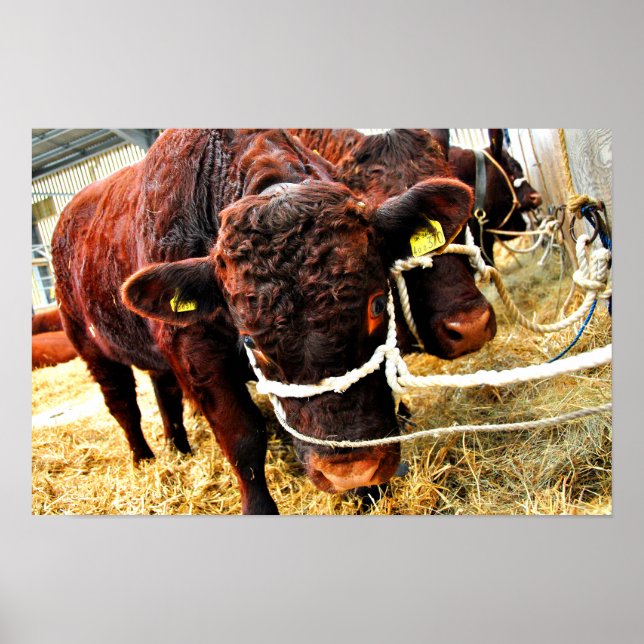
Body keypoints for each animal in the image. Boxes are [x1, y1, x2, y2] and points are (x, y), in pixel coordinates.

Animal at [52, 129, 474, 514]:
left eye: (376, 305)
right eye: (249, 340)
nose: (349, 471)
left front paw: (369, 492)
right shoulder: (198, 352)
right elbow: (243, 437)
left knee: (164, 391)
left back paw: (179, 448)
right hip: (89, 344)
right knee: (124, 404)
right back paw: (144, 459)